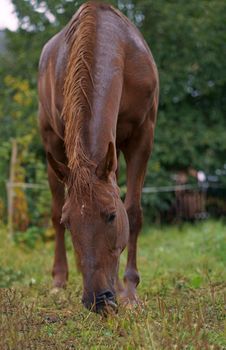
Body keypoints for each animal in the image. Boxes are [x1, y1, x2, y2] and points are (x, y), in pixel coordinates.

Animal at [38, 1, 159, 314]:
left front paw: (129, 290)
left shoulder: (143, 136)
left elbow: (134, 212)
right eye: (70, 222)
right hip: (51, 144)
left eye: (111, 215)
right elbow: (58, 214)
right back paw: (59, 281)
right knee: (53, 208)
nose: (98, 299)